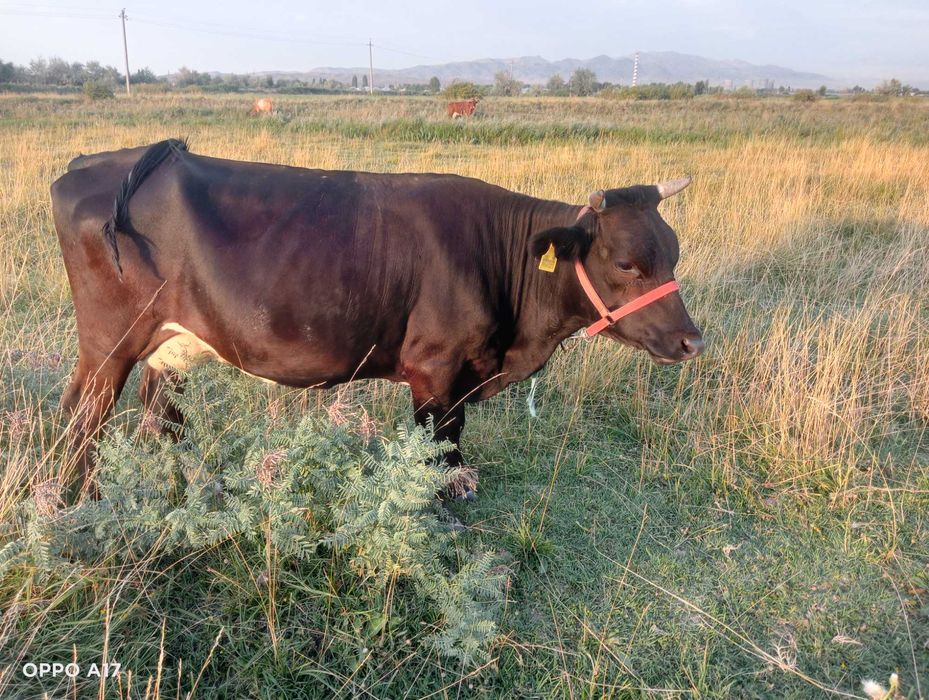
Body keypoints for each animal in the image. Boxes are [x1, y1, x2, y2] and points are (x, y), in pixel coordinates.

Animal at [50, 139, 704, 500]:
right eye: (626, 262)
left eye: (673, 251)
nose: (690, 341)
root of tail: (95, 162)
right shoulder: (435, 370)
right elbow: (441, 455)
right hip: (109, 343)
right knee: (80, 418)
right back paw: (77, 503)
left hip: (172, 345)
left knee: (161, 418)